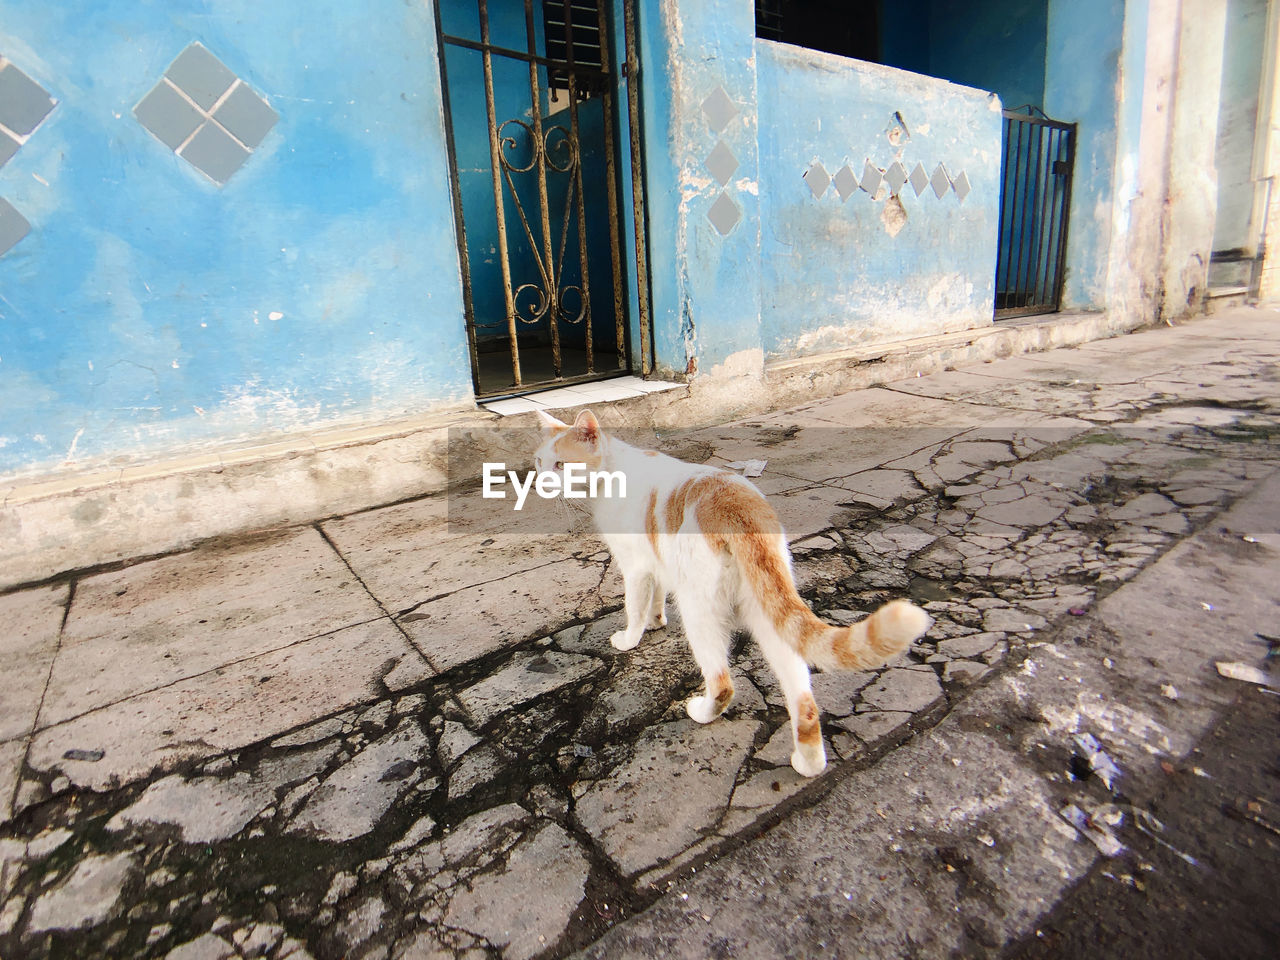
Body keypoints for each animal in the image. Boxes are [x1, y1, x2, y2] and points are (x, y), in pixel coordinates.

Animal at [535, 409, 936, 778]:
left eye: (562, 464)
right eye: (540, 462)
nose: (539, 482)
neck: (612, 473)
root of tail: (739, 506)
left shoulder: (635, 567)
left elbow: (634, 607)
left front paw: (631, 637)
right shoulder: (658, 562)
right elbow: (657, 595)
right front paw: (657, 621)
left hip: (700, 610)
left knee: (722, 681)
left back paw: (702, 711)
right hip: (769, 611)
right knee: (803, 699)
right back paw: (808, 762)